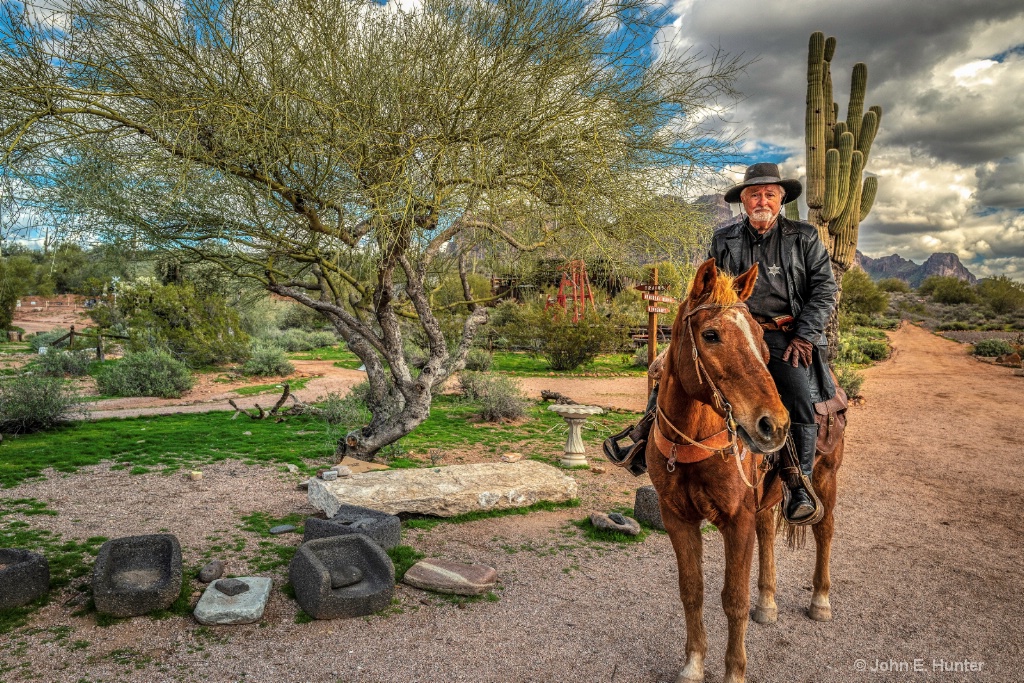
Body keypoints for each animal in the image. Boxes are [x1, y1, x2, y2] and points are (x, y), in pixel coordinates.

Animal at [647, 258, 847, 683]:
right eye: (710, 335)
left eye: (759, 336)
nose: (774, 424)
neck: (695, 440)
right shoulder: (677, 518)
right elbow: (692, 591)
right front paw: (693, 664)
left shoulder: (735, 520)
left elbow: (733, 600)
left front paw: (734, 671)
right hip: (765, 497)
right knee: (768, 531)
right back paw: (767, 603)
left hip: (826, 478)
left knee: (824, 530)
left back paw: (820, 600)